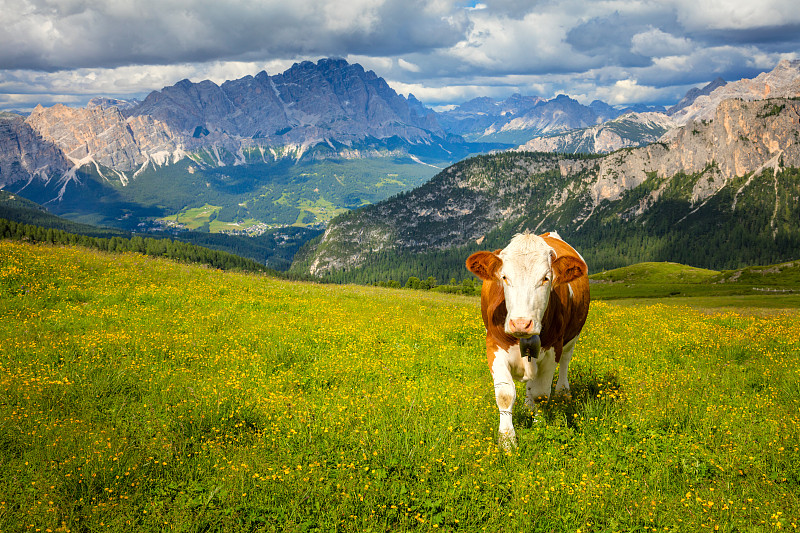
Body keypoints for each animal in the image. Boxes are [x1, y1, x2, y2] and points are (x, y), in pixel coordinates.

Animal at [466, 231, 592, 446]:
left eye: (546, 278)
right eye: (504, 277)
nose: (521, 323)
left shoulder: (552, 350)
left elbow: (541, 394)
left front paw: (539, 428)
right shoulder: (494, 346)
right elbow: (505, 395)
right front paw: (507, 441)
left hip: (572, 338)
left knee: (565, 362)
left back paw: (563, 392)